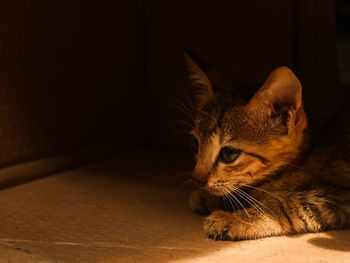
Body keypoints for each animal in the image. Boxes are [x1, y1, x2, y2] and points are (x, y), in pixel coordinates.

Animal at [185, 53, 350, 241]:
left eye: (229, 153)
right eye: (196, 143)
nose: (197, 179)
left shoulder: (340, 195)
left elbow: (287, 202)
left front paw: (235, 218)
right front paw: (208, 197)